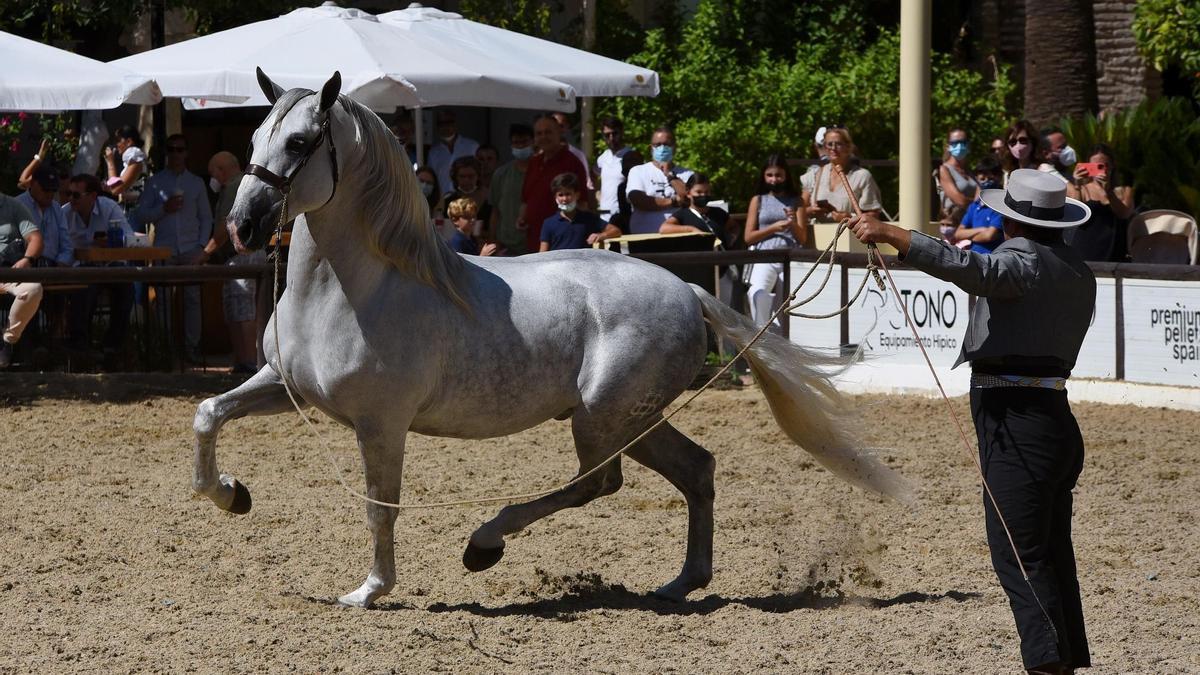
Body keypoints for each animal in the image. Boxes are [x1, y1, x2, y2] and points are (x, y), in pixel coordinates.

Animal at [192, 70, 912, 607]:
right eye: (254, 133)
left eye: (302, 142)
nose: (242, 225)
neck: (354, 290)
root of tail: (690, 290)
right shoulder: (284, 387)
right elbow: (208, 413)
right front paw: (231, 494)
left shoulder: (381, 423)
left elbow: (379, 505)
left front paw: (369, 590)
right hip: (634, 419)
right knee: (696, 470)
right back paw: (680, 583)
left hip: (604, 417)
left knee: (601, 482)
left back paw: (485, 543)